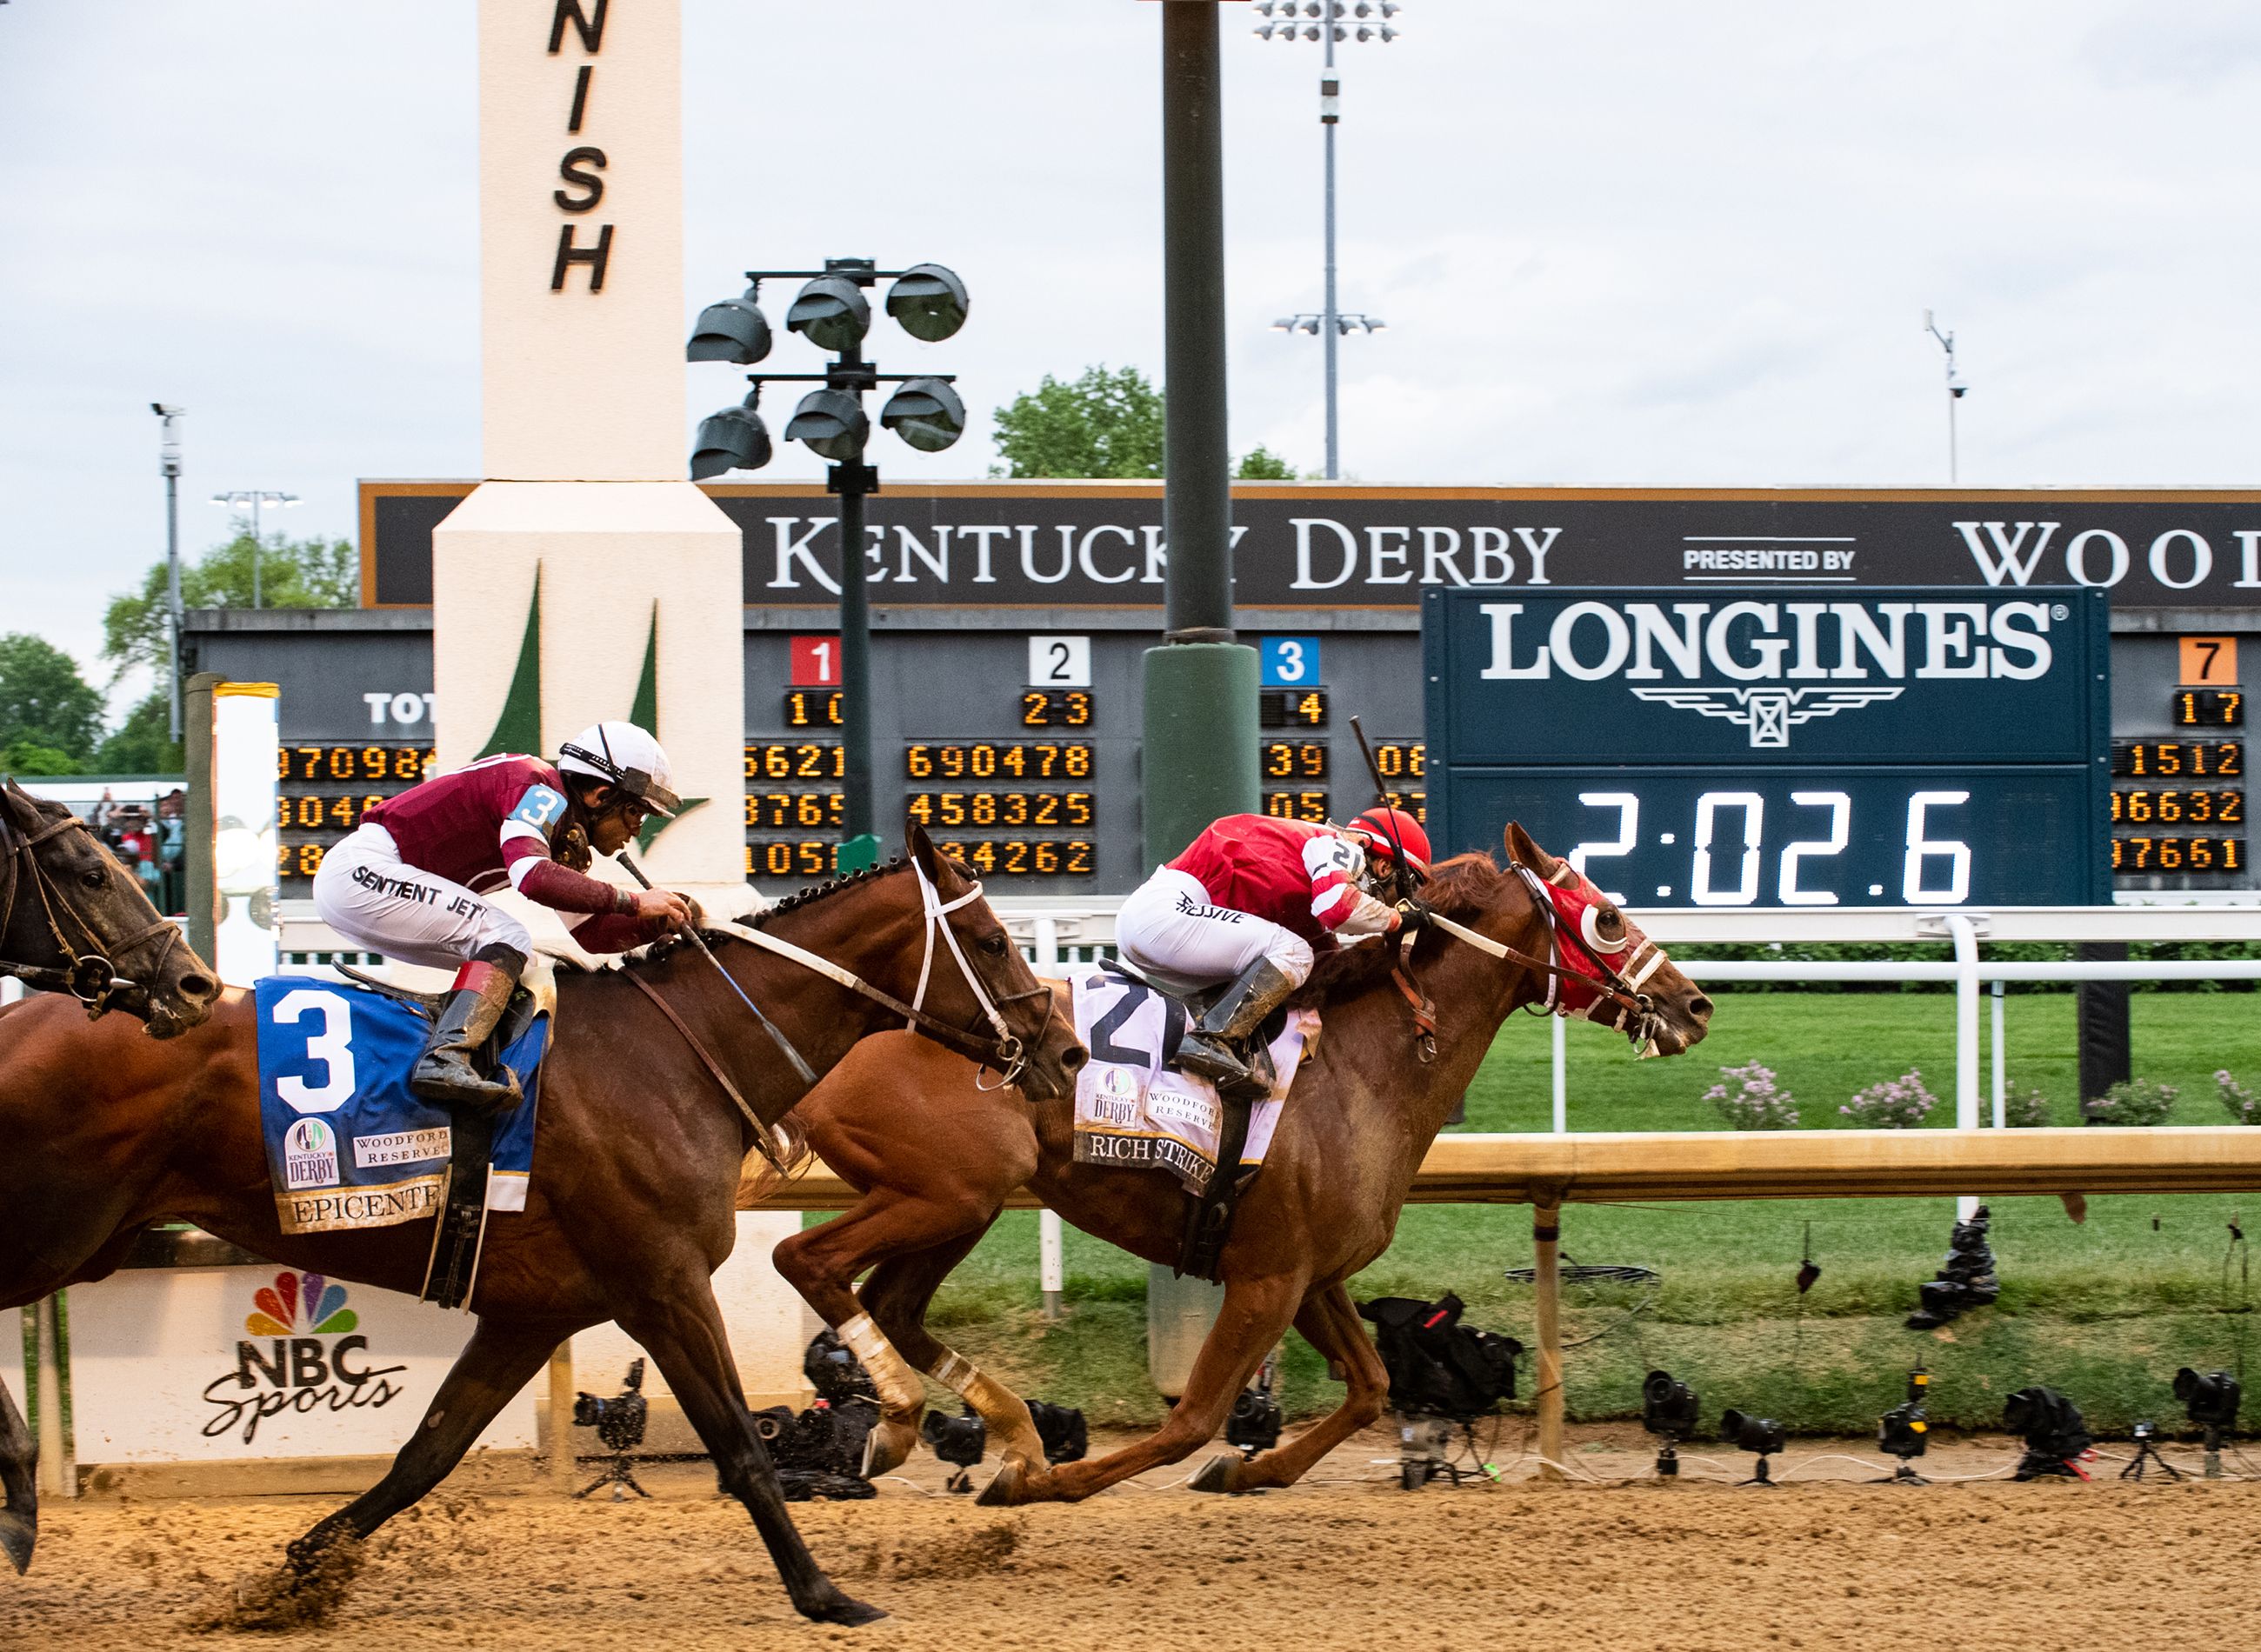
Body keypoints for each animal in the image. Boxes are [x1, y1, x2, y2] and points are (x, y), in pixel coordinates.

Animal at [0, 827, 1080, 1627]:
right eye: (991, 941)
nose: (1064, 1049)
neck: (677, 1054)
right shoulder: (663, 1285)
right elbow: (741, 1445)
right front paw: (824, 1593)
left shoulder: (534, 1313)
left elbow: (425, 1453)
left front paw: (295, 1573)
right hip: (58, 1227)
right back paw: (17, 1499)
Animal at [777, 823, 1709, 1509]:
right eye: (1608, 918)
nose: (1693, 1005)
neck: (1363, 1066)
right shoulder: (1264, 1279)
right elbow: (1192, 1419)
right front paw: (1048, 1484)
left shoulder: (1309, 1272)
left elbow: (1371, 1386)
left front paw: (1248, 1469)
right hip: (947, 1191)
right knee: (808, 1259)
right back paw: (922, 1427)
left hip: (961, 1203)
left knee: (891, 1305)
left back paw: (986, 1428)